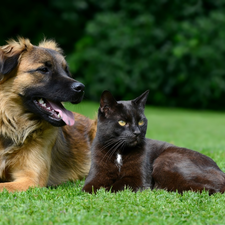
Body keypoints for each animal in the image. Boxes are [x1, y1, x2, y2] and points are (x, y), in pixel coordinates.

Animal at [82, 90, 225, 194]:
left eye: (141, 121)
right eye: (122, 122)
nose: (137, 132)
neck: (119, 152)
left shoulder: (138, 179)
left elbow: (117, 185)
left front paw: (106, 190)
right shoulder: (96, 175)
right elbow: (88, 188)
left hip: (165, 162)